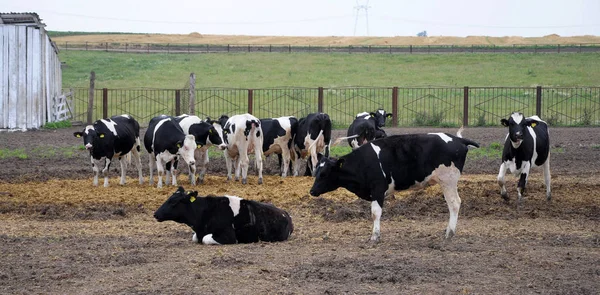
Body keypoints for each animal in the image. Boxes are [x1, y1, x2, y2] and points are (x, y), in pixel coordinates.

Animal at [310, 130, 478, 243]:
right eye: (316, 171)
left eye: (324, 174)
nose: (311, 191)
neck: (363, 162)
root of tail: (457, 139)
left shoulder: (378, 189)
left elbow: (375, 213)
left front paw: (375, 236)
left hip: (448, 181)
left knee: (454, 203)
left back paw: (450, 233)